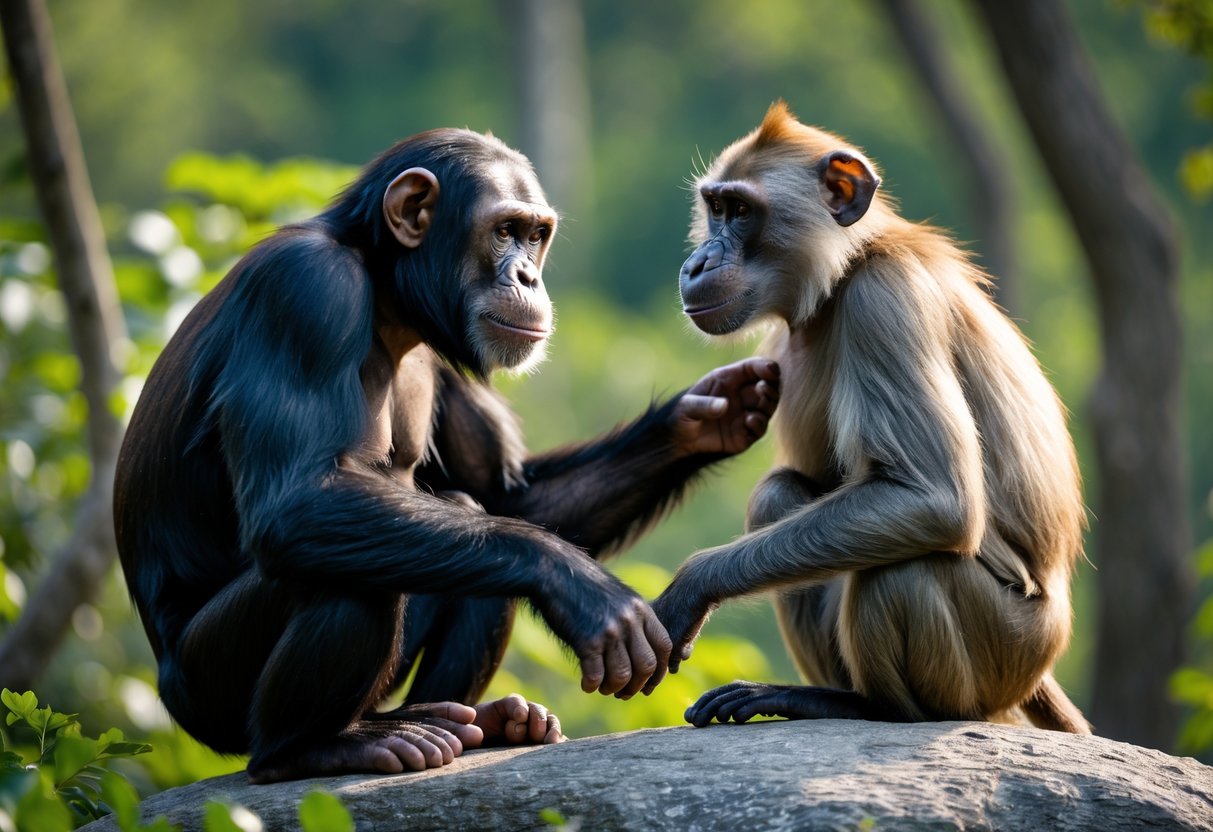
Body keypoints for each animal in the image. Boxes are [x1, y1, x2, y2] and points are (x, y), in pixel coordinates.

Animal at [113, 127, 781, 782]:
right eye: (504, 231)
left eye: (536, 235)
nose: (528, 277)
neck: (385, 295)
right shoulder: (303, 293)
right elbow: (296, 500)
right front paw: (584, 590)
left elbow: (512, 499)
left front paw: (711, 415)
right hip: (209, 697)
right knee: (347, 580)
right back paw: (315, 749)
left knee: (474, 533)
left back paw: (474, 720)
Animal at [652, 102, 1090, 733]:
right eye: (715, 209)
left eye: (740, 212)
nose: (698, 263)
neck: (844, 272)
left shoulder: (884, 299)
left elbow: (934, 499)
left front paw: (693, 587)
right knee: (781, 496)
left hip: (1005, 649)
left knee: (900, 569)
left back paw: (870, 707)